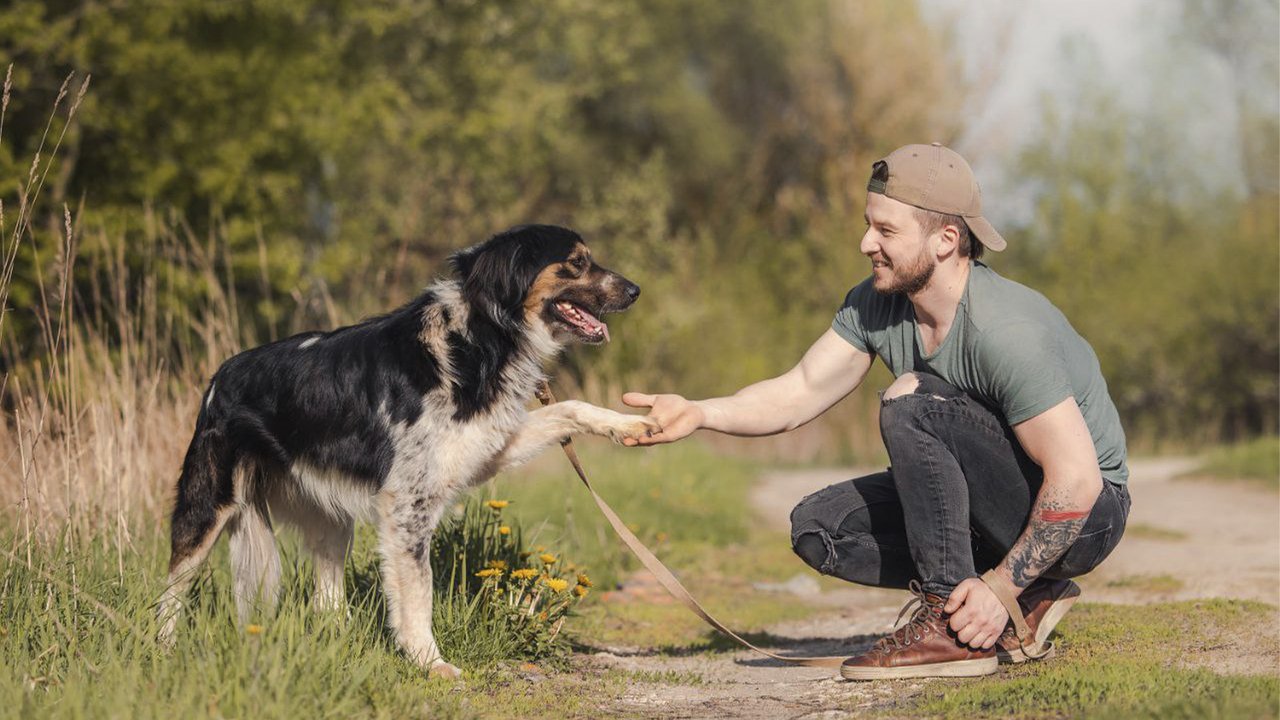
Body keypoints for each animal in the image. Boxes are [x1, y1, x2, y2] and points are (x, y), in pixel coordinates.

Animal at [156, 222, 660, 671]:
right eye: (577, 263)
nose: (636, 290)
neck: (480, 338)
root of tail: (218, 379)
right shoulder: (408, 505)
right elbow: (419, 591)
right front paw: (430, 663)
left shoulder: (486, 447)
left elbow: (571, 408)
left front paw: (631, 424)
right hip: (208, 508)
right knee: (170, 590)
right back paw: (161, 648)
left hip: (330, 522)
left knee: (327, 601)